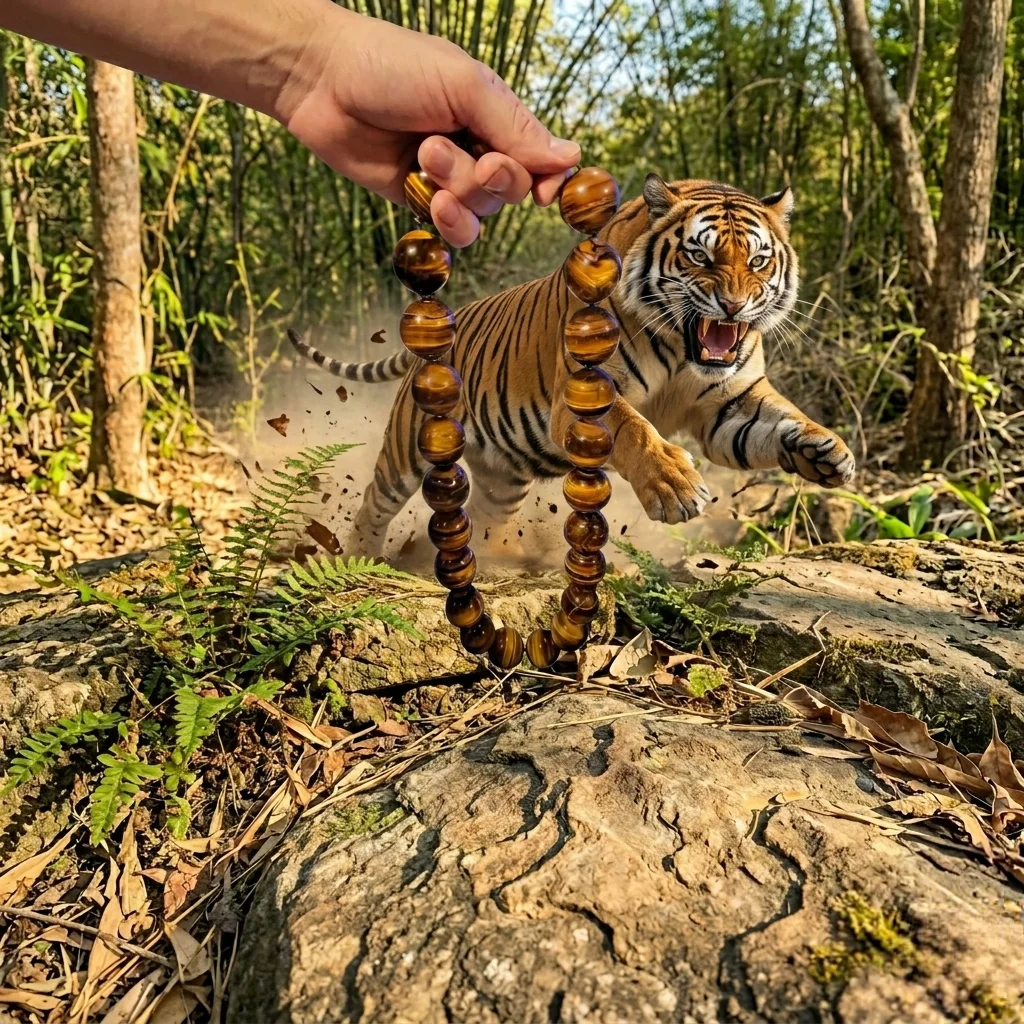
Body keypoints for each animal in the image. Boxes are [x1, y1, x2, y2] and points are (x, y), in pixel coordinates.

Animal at [288, 174, 855, 555]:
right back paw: (361, 559)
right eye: (701, 256)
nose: (735, 307)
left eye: (758, 261)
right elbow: (635, 428)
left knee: (484, 517)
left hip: (501, 475)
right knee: (374, 501)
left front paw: (829, 451)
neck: (681, 348)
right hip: (408, 449)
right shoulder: (585, 393)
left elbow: (779, 419)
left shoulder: (727, 405)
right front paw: (675, 487)